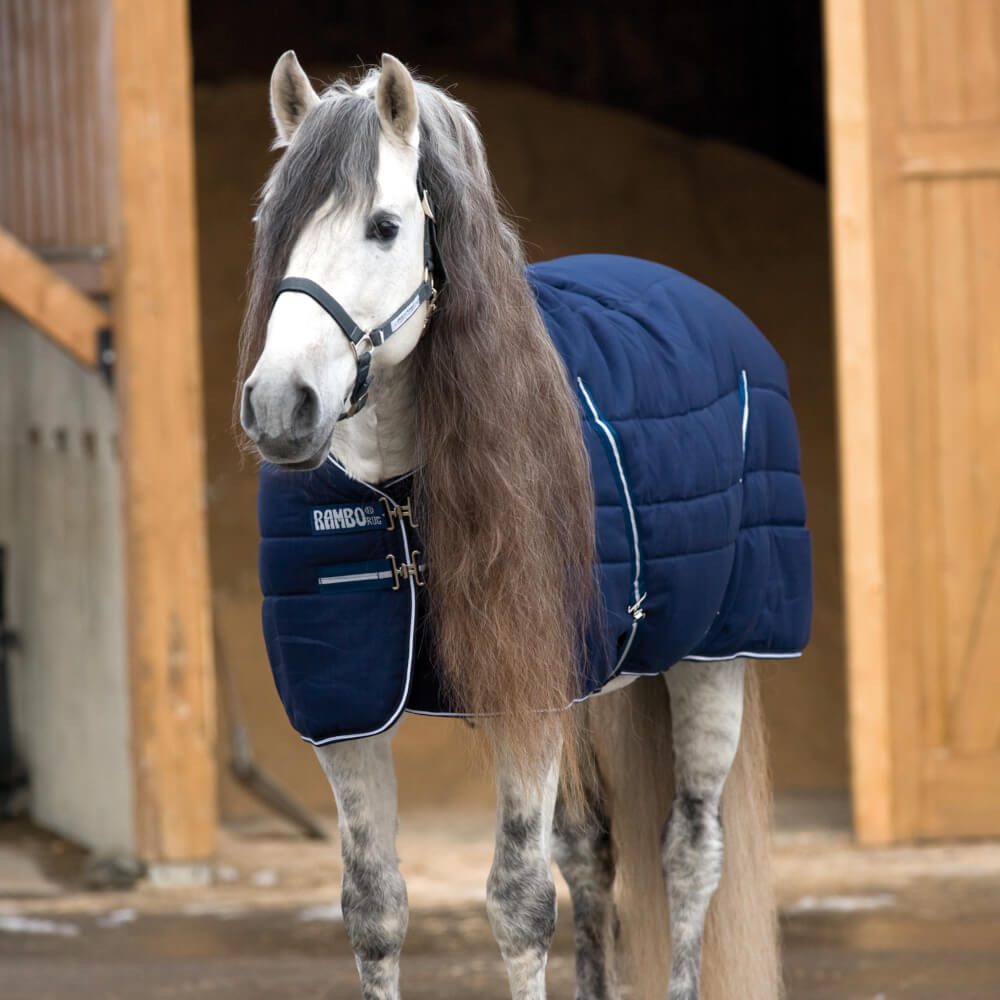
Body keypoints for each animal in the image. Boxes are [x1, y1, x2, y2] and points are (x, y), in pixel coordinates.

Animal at [237, 52, 811, 1000]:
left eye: (385, 227)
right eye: (271, 222)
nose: (283, 405)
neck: (398, 497)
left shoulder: (528, 694)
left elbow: (517, 905)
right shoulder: (348, 711)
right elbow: (374, 911)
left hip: (714, 660)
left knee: (689, 855)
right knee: (591, 855)